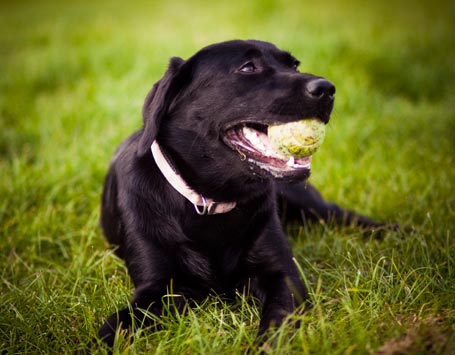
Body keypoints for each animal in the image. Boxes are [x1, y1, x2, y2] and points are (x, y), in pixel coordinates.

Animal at [98, 39, 386, 348]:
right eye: (248, 68)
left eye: (294, 65)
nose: (327, 88)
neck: (210, 201)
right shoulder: (157, 286)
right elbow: (117, 324)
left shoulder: (282, 273)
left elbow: (278, 319)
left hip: (309, 203)